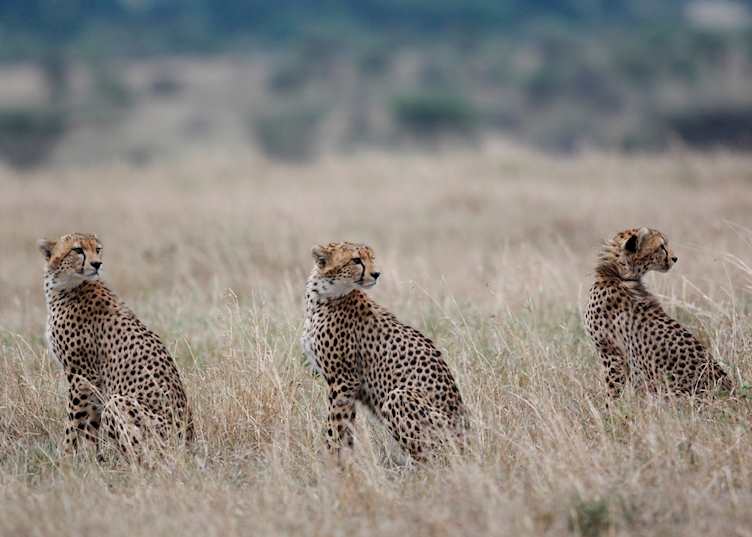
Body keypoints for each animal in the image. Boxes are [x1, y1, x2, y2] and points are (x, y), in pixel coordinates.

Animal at [38, 232, 193, 460]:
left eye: (98, 249)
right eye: (78, 250)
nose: (97, 264)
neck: (67, 285)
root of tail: (189, 443)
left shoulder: (82, 376)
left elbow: (73, 422)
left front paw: (64, 456)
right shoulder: (94, 381)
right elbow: (91, 424)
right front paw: (92, 459)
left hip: (121, 403)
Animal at [301, 241, 467, 461]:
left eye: (372, 258)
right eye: (356, 260)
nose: (376, 273)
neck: (323, 296)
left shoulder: (344, 381)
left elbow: (335, 425)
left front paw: (329, 460)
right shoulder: (348, 386)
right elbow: (346, 427)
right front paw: (347, 460)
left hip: (398, 396)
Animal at [584, 227, 732, 400]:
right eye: (661, 247)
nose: (675, 258)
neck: (619, 274)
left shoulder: (610, 353)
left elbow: (613, 390)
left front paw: (610, 406)